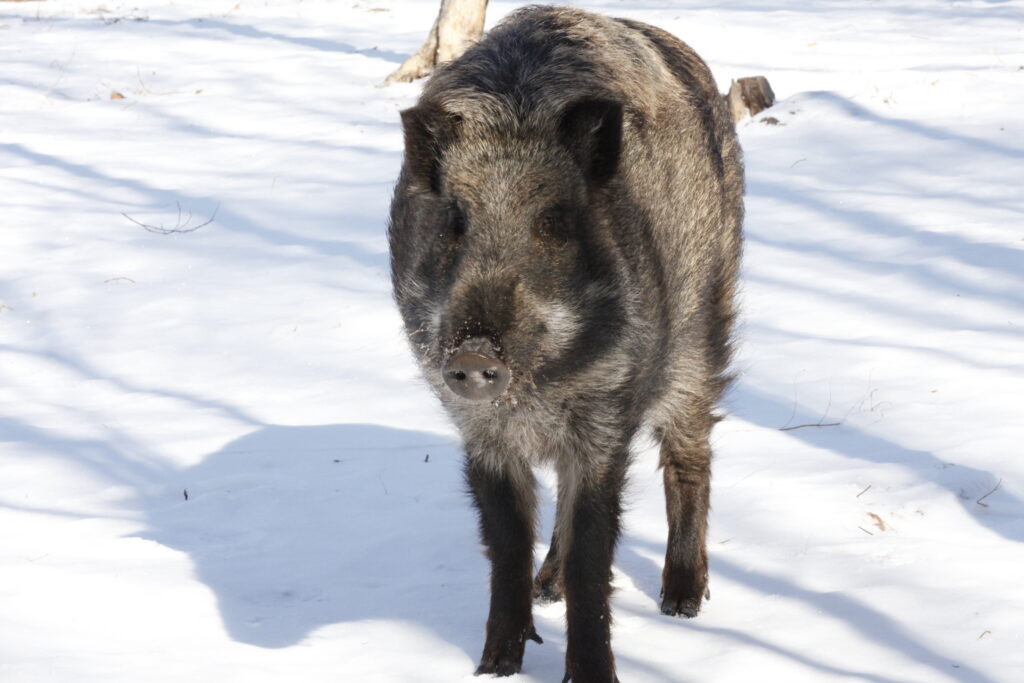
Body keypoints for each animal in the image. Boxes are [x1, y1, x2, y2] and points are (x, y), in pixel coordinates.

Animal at [388, 6, 743, 682]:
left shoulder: (604, 421)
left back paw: (683, 602)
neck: (538, 391)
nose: (473, 355)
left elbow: (592, 556)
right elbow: (505, 544)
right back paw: (546, 589)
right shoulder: (481, 432)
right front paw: (495, 668)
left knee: (693, 450)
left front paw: (592, 674)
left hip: (704, 330)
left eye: (551, 221)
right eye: (455, 220)